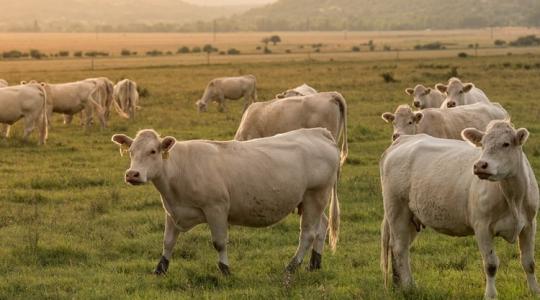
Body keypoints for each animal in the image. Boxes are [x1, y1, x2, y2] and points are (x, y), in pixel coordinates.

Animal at [111, 127, 340, 276]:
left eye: (153, 151)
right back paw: (314, 264)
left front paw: (225, 270)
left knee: (308, 234)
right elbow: (168, 242)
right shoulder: (173, 211)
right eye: (131, 152)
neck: (179, 168)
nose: (132, 174)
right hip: (310, 201)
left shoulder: (216, 209)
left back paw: (292, 266)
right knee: (322, 227)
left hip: (315, 195)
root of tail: (318, 132)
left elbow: (219, 242)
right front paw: (160, 268)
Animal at [380, 119, 540, 298]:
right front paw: (490, 295)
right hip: (397, 210)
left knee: (401, 247)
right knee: (399, 248)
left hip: (411, 217)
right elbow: (491, 265)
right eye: (482, 144)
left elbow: (529, 262)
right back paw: (408, 287)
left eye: (506, 144)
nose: (480, 165)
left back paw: (400, 285)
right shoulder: (482, 227)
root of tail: (403, 140)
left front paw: (534, 291)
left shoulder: (529, 224)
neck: (513, 198)